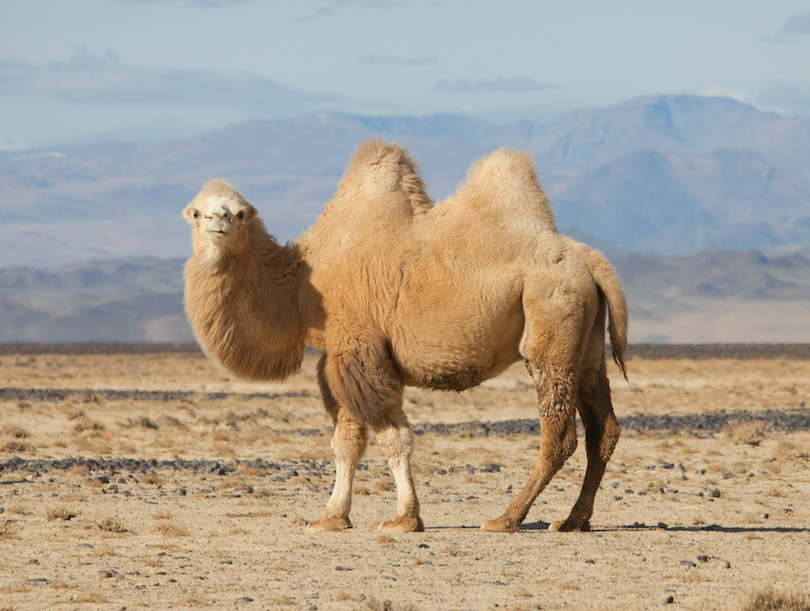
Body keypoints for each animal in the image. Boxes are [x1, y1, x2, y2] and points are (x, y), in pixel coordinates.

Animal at [181, 137, 624, 532]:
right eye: (197, 213)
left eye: (240, 213)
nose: (219, 222)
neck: (303, 285)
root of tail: (592, 261)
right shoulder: (341, 356)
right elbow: (346, 442)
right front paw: (332, 517)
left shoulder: (360, 349)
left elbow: (392, 439)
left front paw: (404, 518)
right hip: (586, 348)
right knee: (604, 430)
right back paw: (573, 520)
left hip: (550, 321)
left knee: (559, 433)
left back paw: (507, 518)